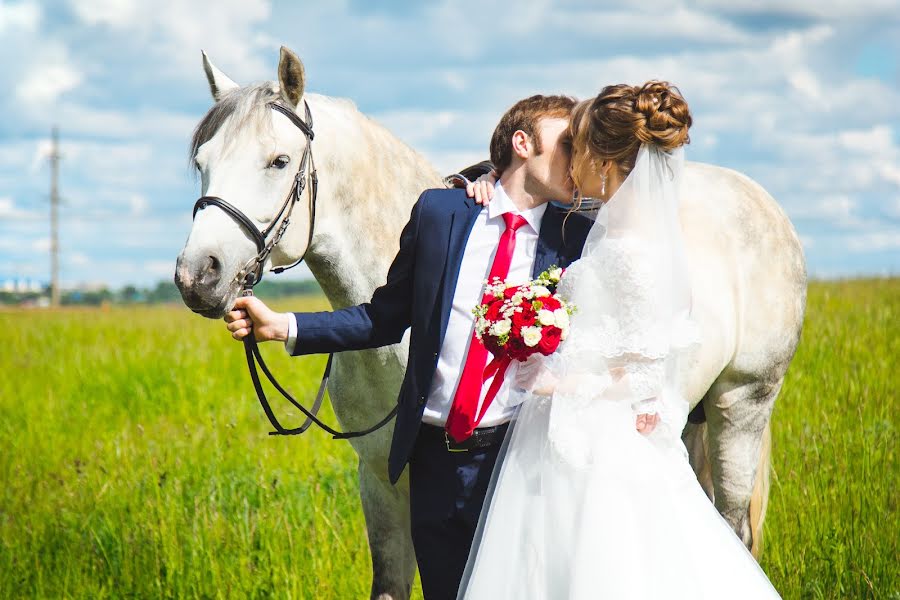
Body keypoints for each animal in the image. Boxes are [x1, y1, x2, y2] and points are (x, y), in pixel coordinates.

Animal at [176, 47, 808, 600]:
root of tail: (759, 200)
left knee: (734, 527)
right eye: (202, 162)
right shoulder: (381, 478)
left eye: (278, 161)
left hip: (741, 407)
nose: (197, 276)